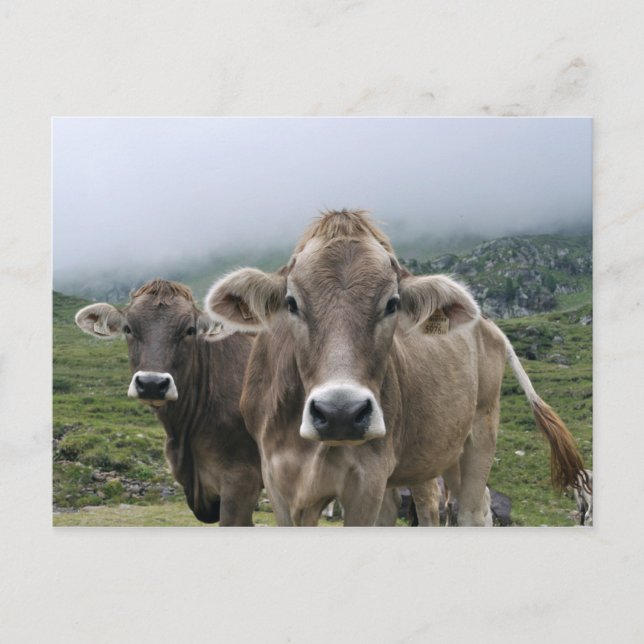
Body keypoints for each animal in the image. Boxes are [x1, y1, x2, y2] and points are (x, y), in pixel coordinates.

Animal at [205, 209, 590, 527]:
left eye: (392, 303)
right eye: (291, 303)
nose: (340, 413)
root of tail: (488, 325)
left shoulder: (367, 481)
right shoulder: (279, 484)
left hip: (481, 429)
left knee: (467, 510)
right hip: (442, 451)